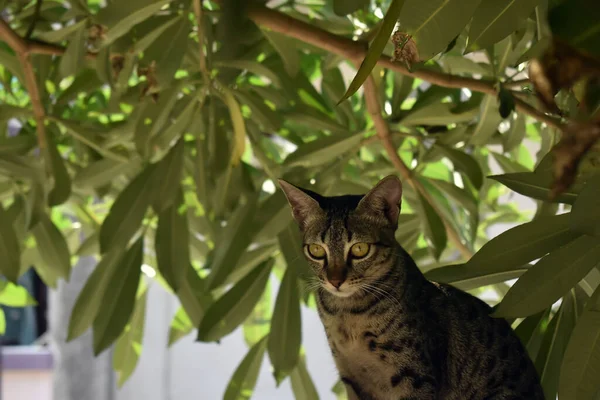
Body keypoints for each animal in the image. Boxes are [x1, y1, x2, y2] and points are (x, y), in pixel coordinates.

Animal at [278, 177, 548, 398]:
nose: (335, 281)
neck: (348, 315)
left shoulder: (414, 375)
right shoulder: (351, 379)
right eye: (316, 250)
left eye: (359, 249)